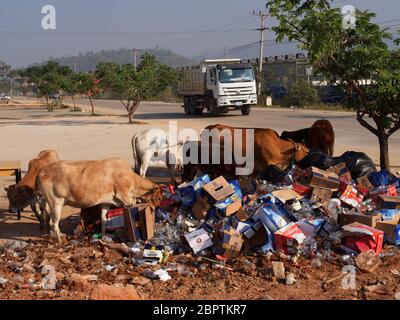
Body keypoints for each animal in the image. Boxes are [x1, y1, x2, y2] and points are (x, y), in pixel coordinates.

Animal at [35, 158, 163, 242]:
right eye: (159, 197)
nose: (157, 207)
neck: (131, 178)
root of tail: (41, 172)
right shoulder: (125, 198)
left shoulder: (106, 201)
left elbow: (104, 218)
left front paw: (104, 234)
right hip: (56, 202)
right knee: (53, 222)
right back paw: (60, 241)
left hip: (48, 203)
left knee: (49, 220)